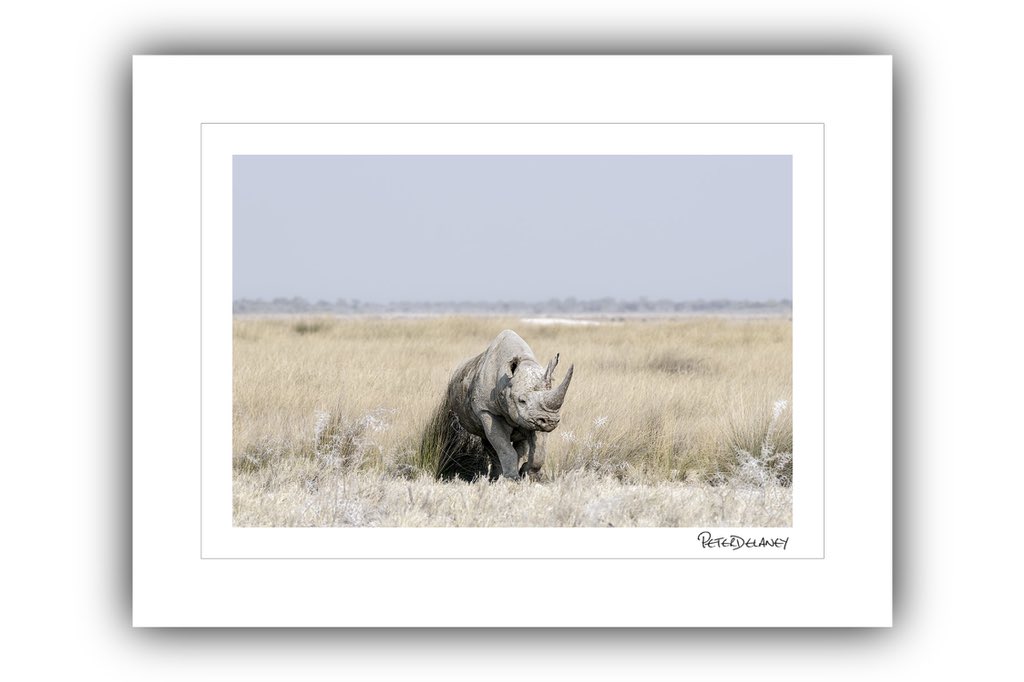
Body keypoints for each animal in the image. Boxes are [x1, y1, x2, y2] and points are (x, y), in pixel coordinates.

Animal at [420, 329, 574, 481]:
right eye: (522, 401)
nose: (550, 421)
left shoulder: (534, 417)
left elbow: (539, 451)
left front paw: (529, 475)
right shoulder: (487, 410)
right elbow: (503, 446)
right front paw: (512, 479)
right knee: (489, 442)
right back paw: (496, 477)